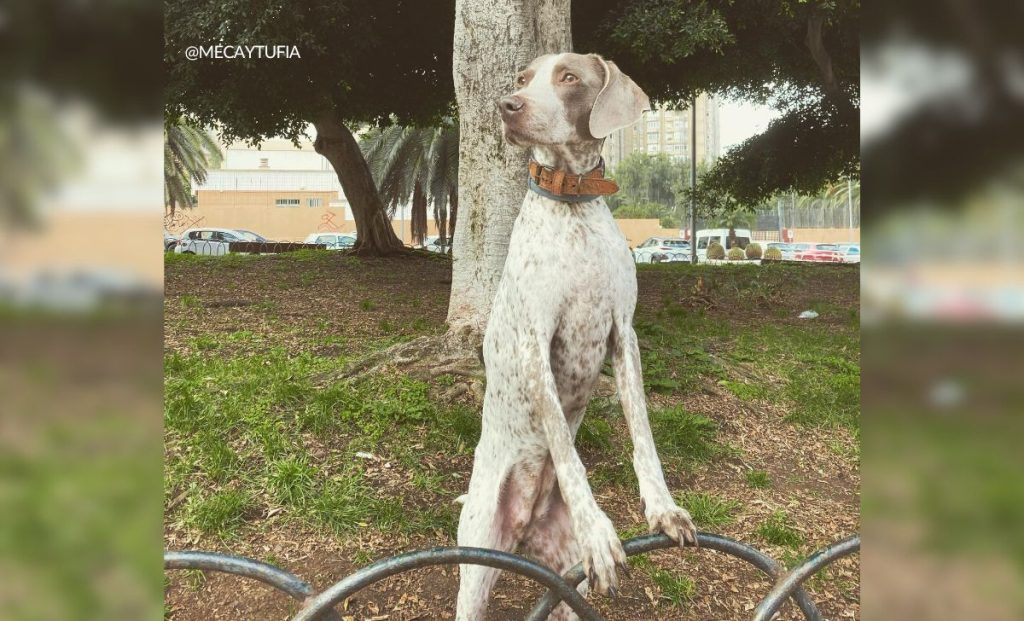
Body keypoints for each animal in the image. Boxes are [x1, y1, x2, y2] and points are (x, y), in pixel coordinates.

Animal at [456, 53, 696, 621]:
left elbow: (643, 434)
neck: (574, 208)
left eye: (568, 77)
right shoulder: (536, 346)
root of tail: (523, 527)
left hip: (569, 584)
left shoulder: (623, 335)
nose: (508, 105)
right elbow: (567, 452)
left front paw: (664, 507)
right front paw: (598, 529)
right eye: (522, 80)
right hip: (476, 559)